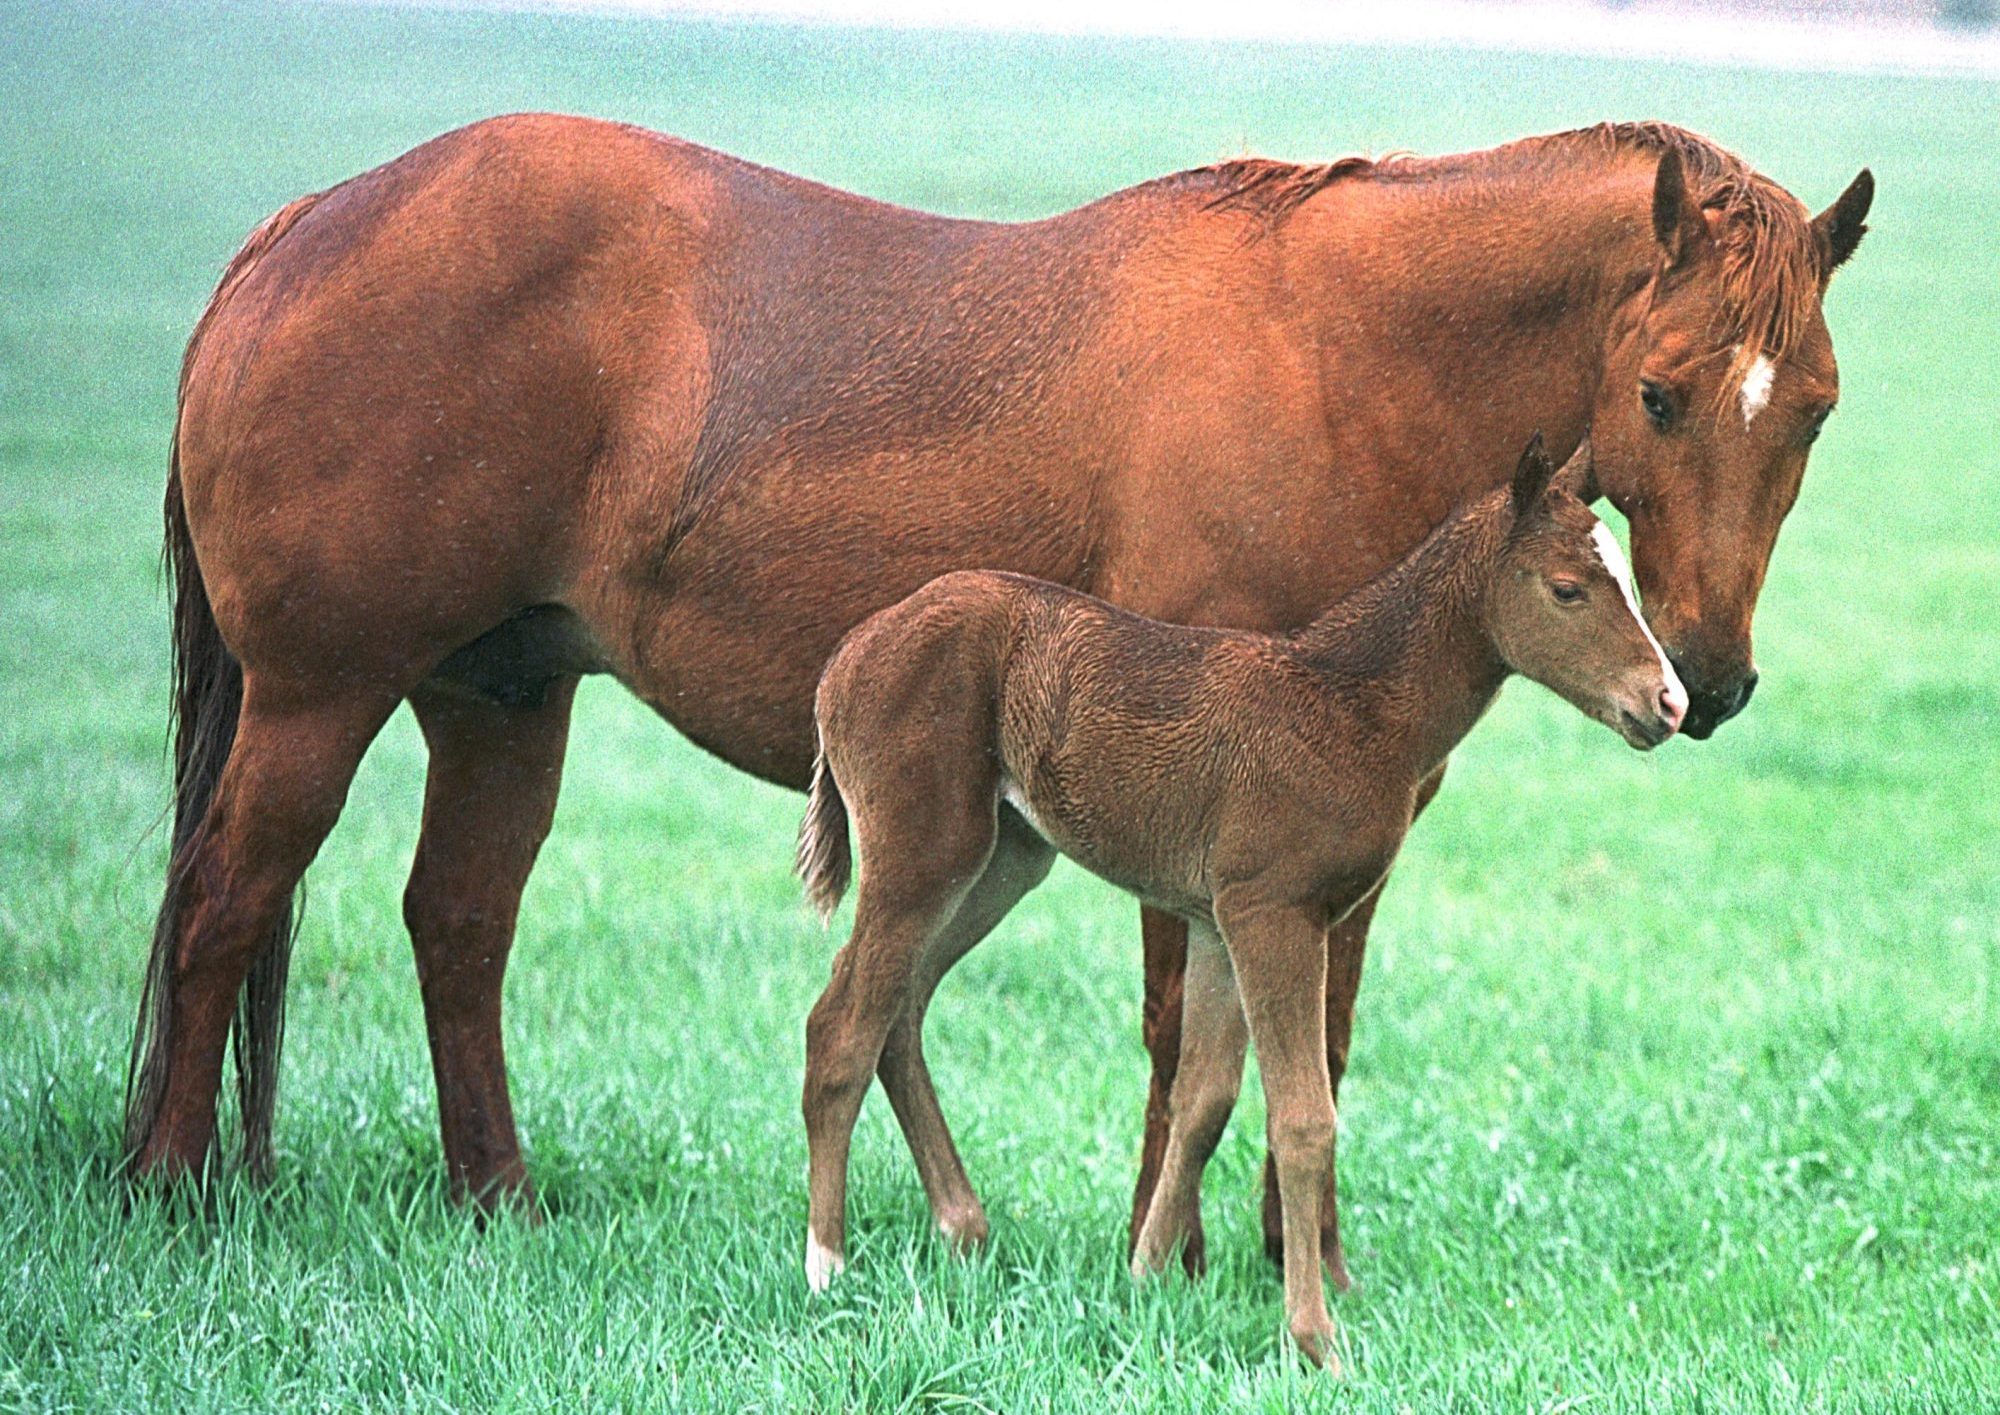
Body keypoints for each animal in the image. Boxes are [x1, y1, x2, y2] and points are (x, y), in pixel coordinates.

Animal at [795, 436, 1682, 1366]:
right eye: (1568, 589)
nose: (1669, 702)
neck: (1352, 705)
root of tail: (847, 656)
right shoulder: (1274, 913)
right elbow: (1301, 1118)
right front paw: (1314, 1338)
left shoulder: (1218, 919)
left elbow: (1203, 1100)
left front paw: (1146, 1278)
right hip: (924, 852)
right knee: (843, 1023)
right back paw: (827, 1264)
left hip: (1005, 858)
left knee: (900, 1011)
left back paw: (963, 1227)